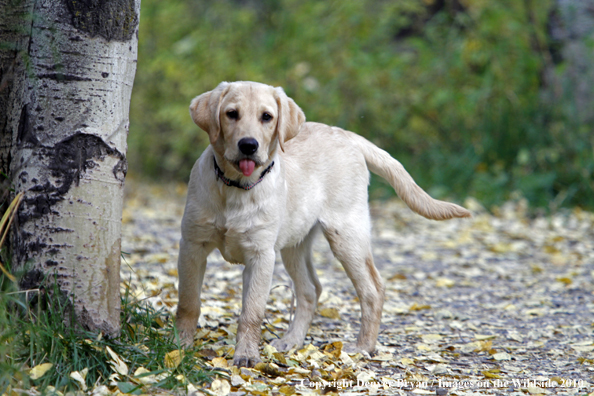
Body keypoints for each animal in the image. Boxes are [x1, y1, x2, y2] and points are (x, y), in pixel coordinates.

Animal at [173, 81, 470, 368]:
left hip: (346, 235)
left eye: (267, 117)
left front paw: (246, 356)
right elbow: (188, 303)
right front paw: (180, 347)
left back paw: (363, 347)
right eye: (231, 114)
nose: (249, 145)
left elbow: (251, 312)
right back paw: (292, 340)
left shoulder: (260, 255)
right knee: (310, 289)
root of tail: (348, 135)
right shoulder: (192, 245)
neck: (236, 187)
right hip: (294, 244)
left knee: (372, 289)